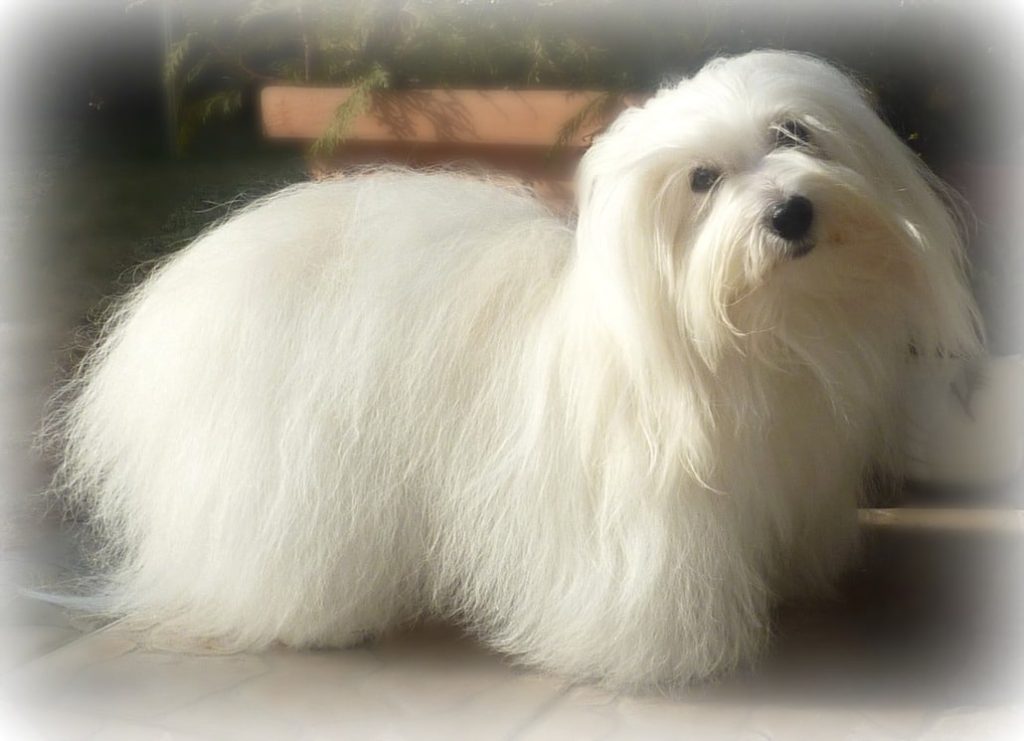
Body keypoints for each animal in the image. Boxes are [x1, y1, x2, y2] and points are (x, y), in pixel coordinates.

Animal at [51, 52, 978, 687]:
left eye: (793, 132)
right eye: (702, 180)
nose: (791, 212)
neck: (742, 332)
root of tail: (184, 281)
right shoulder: (635, 521)